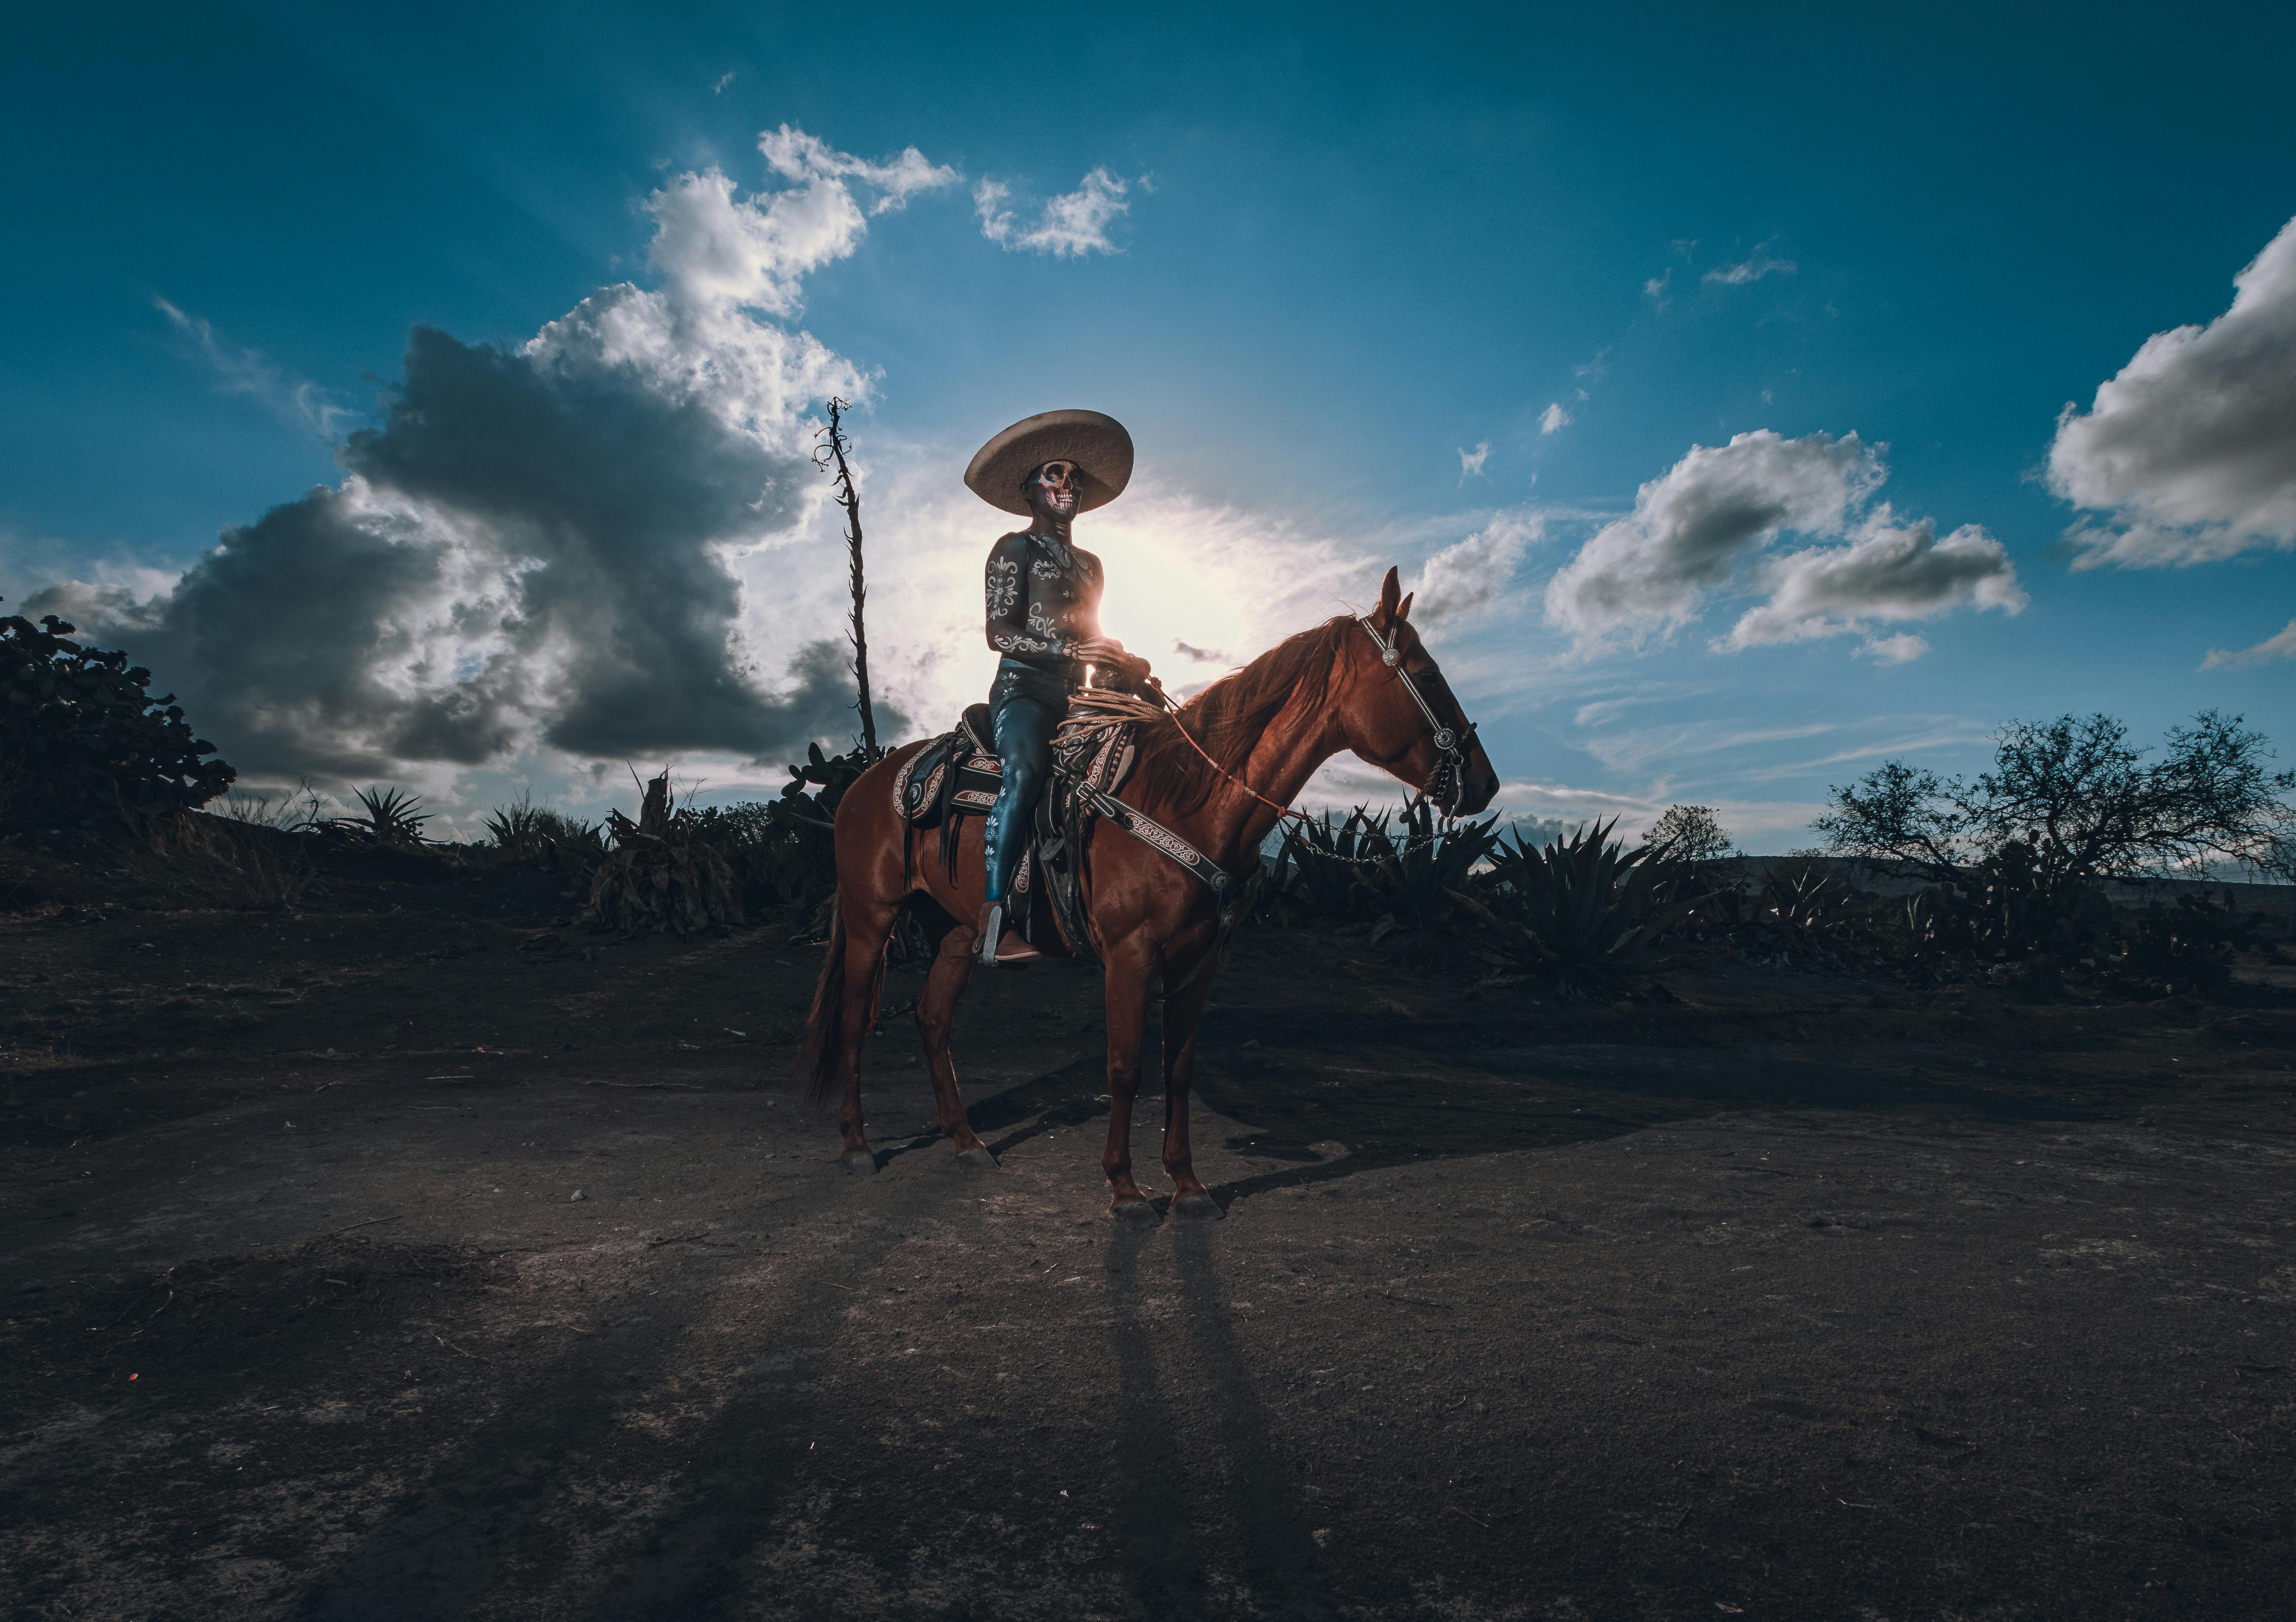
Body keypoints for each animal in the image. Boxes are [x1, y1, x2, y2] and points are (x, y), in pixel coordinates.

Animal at [799, 565, 1497, 1213]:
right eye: (1426, 675)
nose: (1484, 783)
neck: (1190, 800)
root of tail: (866, 781)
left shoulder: (1199, 962)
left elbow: (1179, 1068)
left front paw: (1186, 1183)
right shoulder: (1130, 957)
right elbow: (1127, 1066)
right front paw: (1124, 1187)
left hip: (955, 930)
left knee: (932, 1017)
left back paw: (967, 1141)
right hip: (871, 918)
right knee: (857, 1019)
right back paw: (858, 1145)